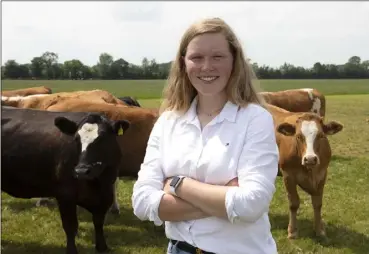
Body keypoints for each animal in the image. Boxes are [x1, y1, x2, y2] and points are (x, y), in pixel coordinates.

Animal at [1, 105, 131, 254]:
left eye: (103, 138)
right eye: (76, 139)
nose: (81, 171)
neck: (97, 183)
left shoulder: (106, 193)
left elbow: (98, 222)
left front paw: (102, 247)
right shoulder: (65, 195)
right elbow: (70, 226)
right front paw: (72, 250)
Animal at [264, 104, 342, 239]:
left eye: (321, 135)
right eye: (298, 136)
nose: (310, 159)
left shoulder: (322, 174)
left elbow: (317, 203)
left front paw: (319, 230)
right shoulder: (288, 176)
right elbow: (294, 203)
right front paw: (292, 231)